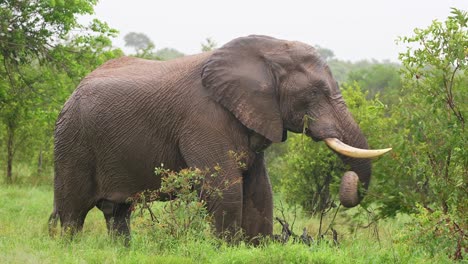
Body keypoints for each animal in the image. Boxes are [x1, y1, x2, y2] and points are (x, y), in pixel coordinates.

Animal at [48, 34, 392, 241]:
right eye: (316, 93)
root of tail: (71, 92)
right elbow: (226, 188)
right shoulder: (202, 119)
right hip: (72, 142)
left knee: (118, 213)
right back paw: (69, 248)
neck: (267, 52)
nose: (348, 180)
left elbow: (260, 191)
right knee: (71, 214)